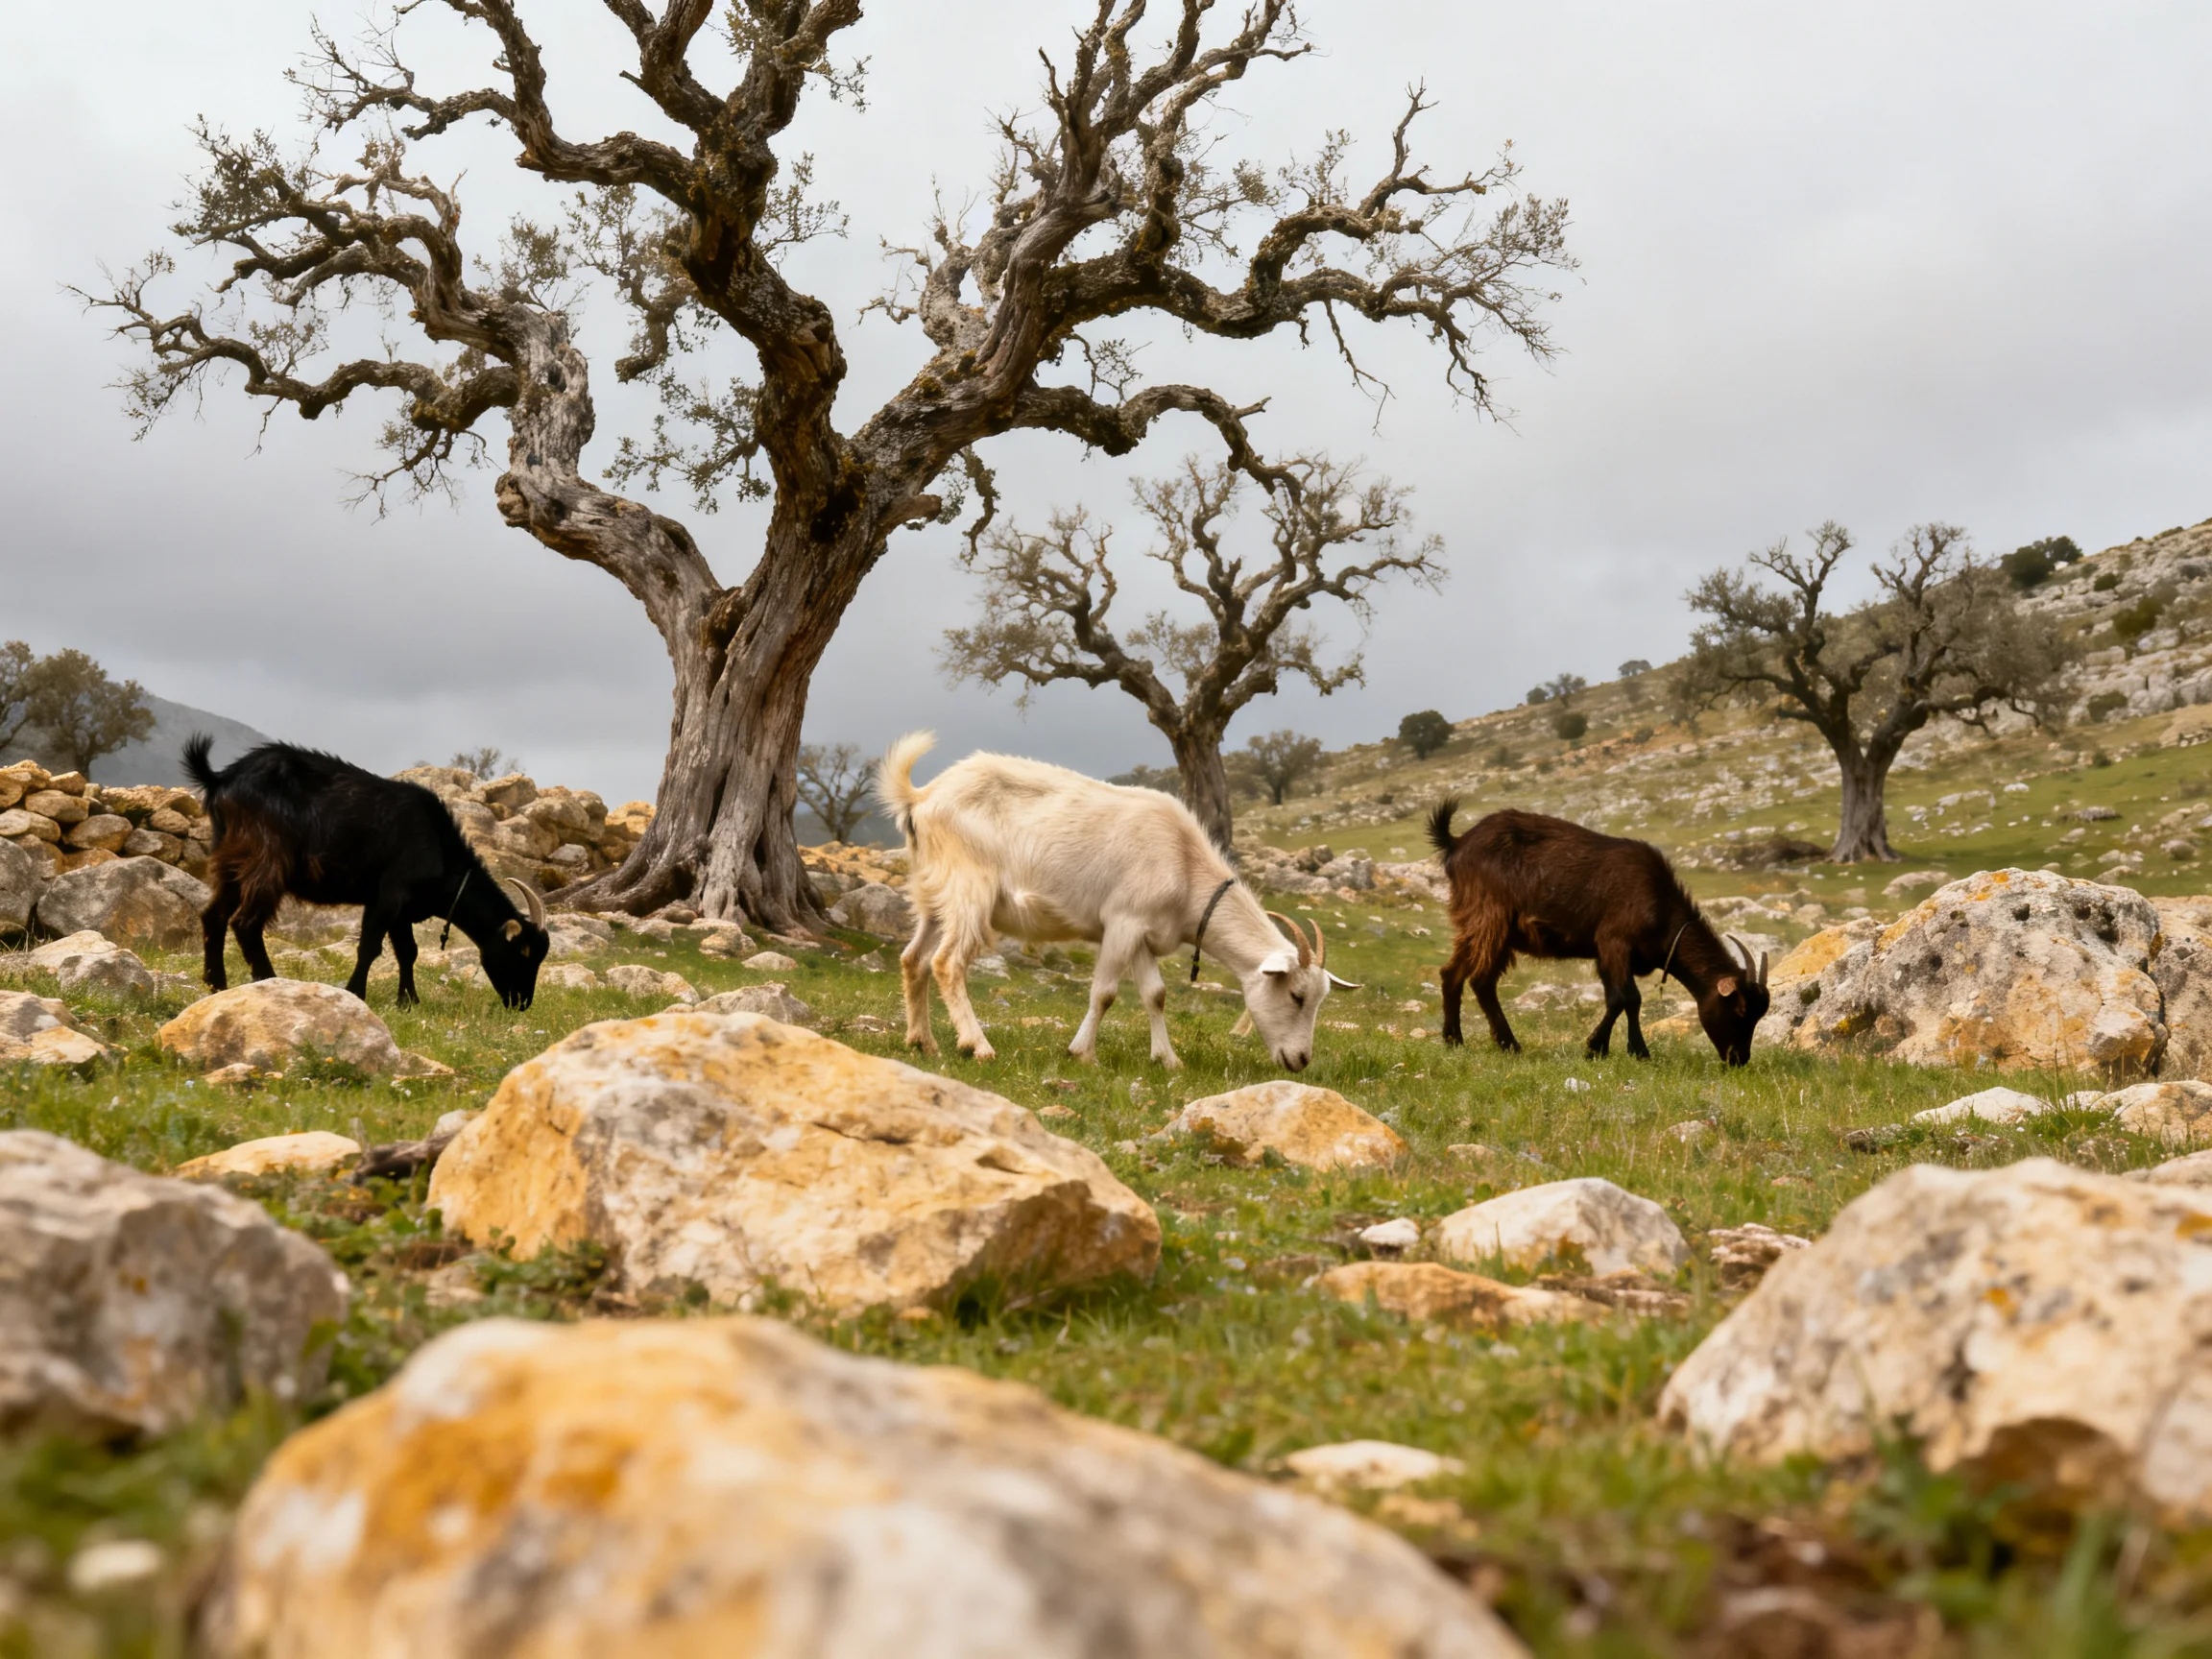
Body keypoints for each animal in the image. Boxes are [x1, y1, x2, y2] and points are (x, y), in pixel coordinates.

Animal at [184, 736, 550, 1009]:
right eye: (523, 952)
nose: (522, 1003)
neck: (439, 847)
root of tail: (222, 779)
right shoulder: (388, 894)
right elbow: (370, 947)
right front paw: (356, 992)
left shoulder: (403, 911)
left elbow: (408, 952)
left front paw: (409, 1001)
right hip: (268, 858)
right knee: (246, 922)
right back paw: (267, 979)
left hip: (229, 858)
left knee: (214, 916)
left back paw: (217, 984)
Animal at [876, 733, 1355, 1071]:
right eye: (1296, 995)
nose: (1301, 1060)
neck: (1185, 864)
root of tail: (921, 798)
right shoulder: (1122, 922)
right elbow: (1104, 992)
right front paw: (1082, 1054)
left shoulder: (1144, 934)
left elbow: (1155, 994)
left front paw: (1168, 1060)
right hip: (969, 889)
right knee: (947, 963)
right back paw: (977, 1045)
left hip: (932, 893)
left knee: (913, 959)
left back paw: (923, 1043)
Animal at [1427, 800, 1770, 1065]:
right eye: (1740, 1010)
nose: (1739, 1060)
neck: (1659, 903)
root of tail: (1457, 842)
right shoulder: (1614, 942)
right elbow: (1627, 998)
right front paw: (1622, 1050)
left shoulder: (1605, 954)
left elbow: (1613, 998)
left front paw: (1606, 1049)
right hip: (1491, 918)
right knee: (1480, 979)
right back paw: (1509, 1044)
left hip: (1480, 924)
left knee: (1453, 973)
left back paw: (1454, 1039)